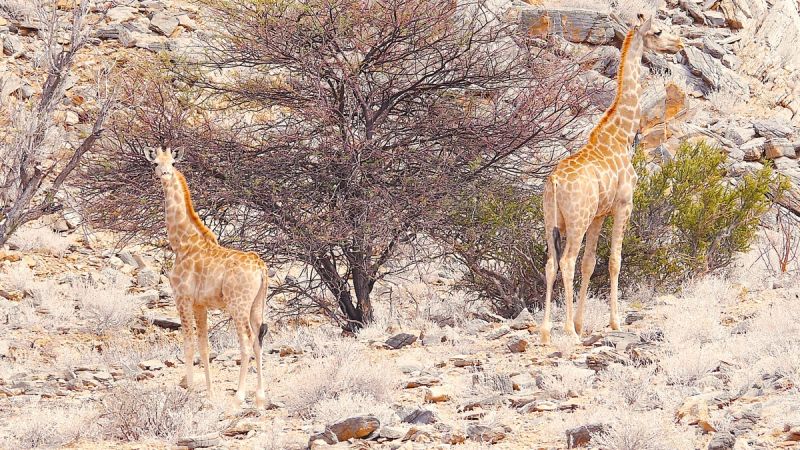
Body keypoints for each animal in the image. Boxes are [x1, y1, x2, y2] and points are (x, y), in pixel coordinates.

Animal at [143, 146, 268, 406]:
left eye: (172, 162)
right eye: (155, 163)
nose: (165, 174)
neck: (182, 243)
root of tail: (261, 268)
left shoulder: (182, 297)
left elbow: (188, 344)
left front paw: (190, 390)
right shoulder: (200, 304)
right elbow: (204, 347)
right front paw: (210, 394)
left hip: (238, 304)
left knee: (246, 339)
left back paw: (239, 396)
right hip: (257, 304)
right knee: (259, 339)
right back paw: (260, 396)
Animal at [536, 14, 680, 344]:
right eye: (658, 31)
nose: (678, 43)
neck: (621, 134)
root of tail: (554, 184)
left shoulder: (599, 214)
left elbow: (590, 264)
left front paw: (580, 323)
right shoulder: (623, 204)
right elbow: (614, 261)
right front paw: (613, 322)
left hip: (551, 221)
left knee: (551, 264)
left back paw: (547, 331)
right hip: (576, 220)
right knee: (566, 262)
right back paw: (566, 331)